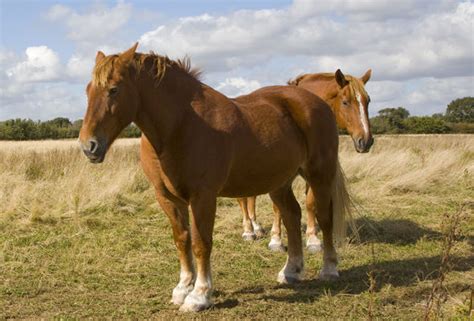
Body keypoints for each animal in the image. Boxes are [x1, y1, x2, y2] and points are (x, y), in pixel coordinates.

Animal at [78, 43, 352, 312]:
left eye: (113, 89)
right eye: (88, 91)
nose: (88, 146)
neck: (181, 125)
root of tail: (317, 103)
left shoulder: (203, 197)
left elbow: (201, 243)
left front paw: (199, 295)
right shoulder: (167, 198)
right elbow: (182, 240)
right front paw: (182, 288)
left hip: (319, 175)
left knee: (324, 217)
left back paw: (329, 268)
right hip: (279, 182)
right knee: (292, 216)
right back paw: (291, 271)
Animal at [235, 70, 372, 252]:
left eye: (367, 101)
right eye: (345, 102)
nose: (366, 141)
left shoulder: (313, 172)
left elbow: (310, 202)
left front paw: (312, 238)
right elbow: (277, 207)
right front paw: (276, 240)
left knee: (251, 198)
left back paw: (256, 227)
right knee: (243, 200)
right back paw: (249, 231)